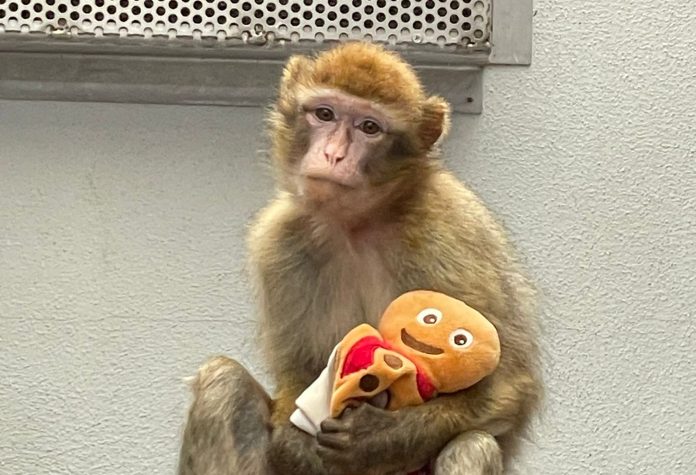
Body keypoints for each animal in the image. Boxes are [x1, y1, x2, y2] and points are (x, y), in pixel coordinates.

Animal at [178, 41, 542, 475]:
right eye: (324, 114)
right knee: (223, 383)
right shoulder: (278, 242)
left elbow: (509, 384)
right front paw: (295, 445)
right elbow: (296, 375)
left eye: (370, 127)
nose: (333, 154)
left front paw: (379, 440)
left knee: (472, 444)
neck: (357, 225)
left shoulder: (448, 231)